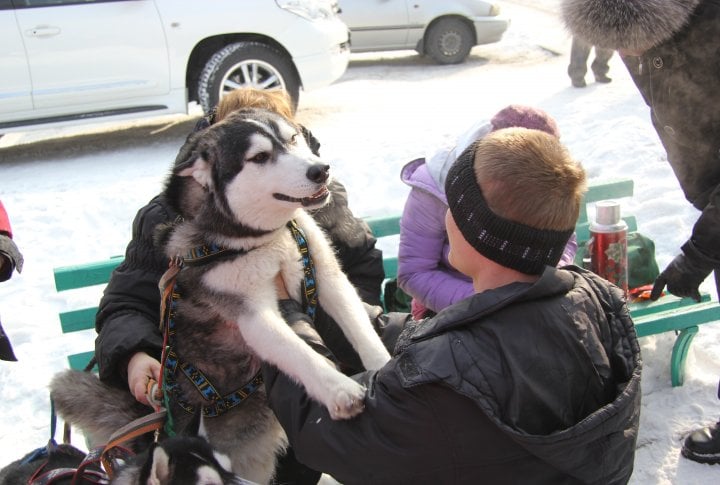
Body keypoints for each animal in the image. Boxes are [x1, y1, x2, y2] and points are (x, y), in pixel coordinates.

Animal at [50, 108, 390, 482]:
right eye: (259, 157)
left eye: (292, 138)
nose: (320, 169)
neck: (260, 240)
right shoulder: (252, 314)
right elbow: (299, 352)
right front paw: (339, 389)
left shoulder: (326, 275)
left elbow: (361, 329)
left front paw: (384, 366)